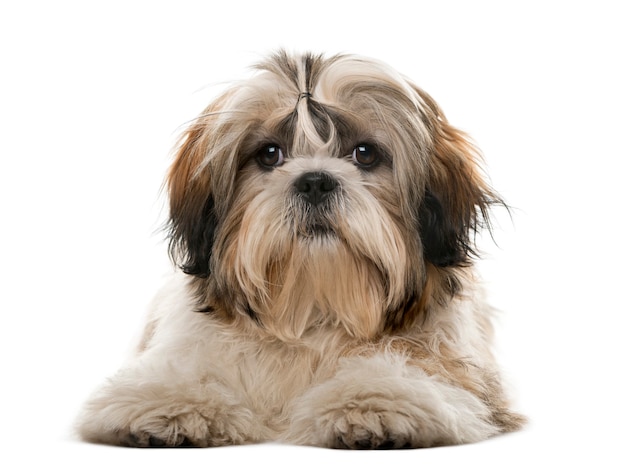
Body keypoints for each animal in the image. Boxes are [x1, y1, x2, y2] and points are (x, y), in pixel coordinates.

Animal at [79, 49, 528, 448]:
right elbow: (191, 372)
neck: (311, 307)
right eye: (269, 154)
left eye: (365, 153)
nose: (315, 181)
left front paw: (374, 403)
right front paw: (169, 403)